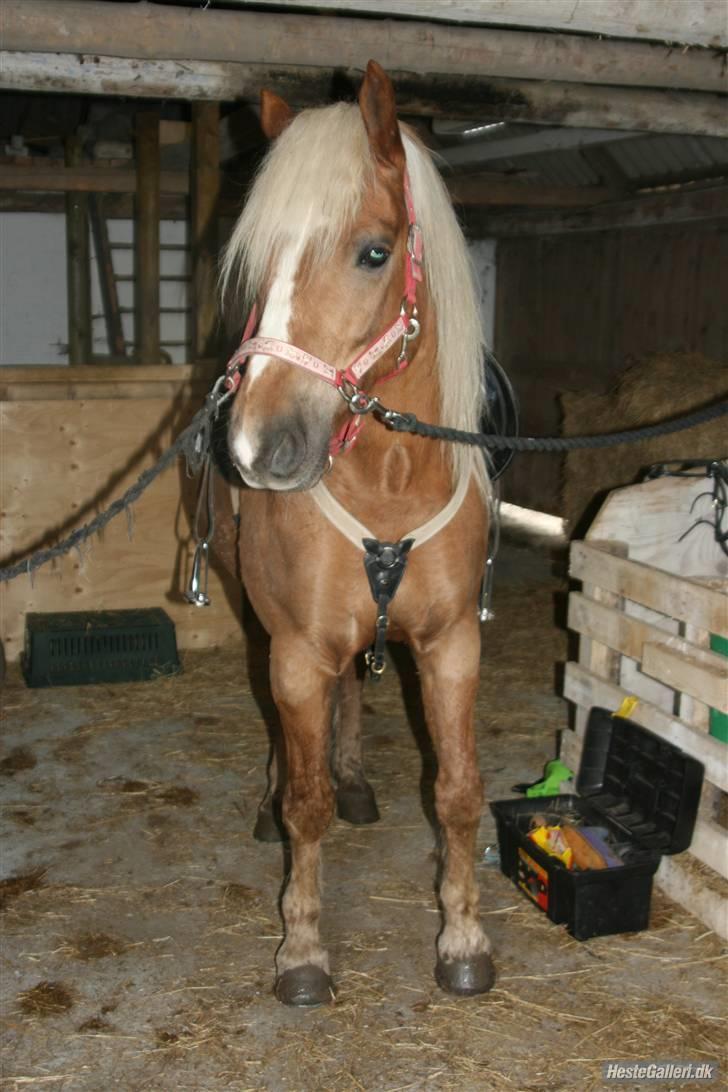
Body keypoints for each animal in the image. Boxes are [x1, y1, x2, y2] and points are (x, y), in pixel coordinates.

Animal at [219, 61, 495, 1004]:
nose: (256, 446)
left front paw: (464, 939)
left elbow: (457, 792)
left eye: (373, 251)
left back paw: (356, 778)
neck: (390, 486)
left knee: (350, 700)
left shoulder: (450, 645)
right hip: (265, 632)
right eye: (258, 263)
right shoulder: (297, 650)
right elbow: (306, 807)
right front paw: (301, 950)